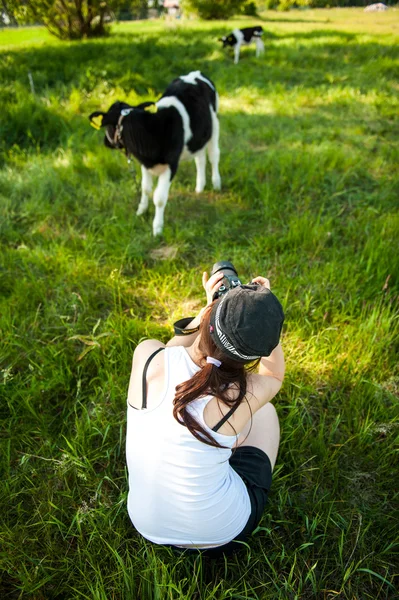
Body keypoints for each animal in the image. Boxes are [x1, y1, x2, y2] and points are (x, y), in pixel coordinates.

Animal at [88, 71, 222, 236]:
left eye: (107, 126)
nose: (105, 142)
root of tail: (196, 73)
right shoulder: (145, 164)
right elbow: (145, 188)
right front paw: (141, 210)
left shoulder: (171, 165)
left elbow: (159, 197)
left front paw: (157, 228)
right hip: (199, 136)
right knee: (200, 158)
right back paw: (199, 187)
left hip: (215, 126)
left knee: (214, 156)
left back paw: (216, 184)